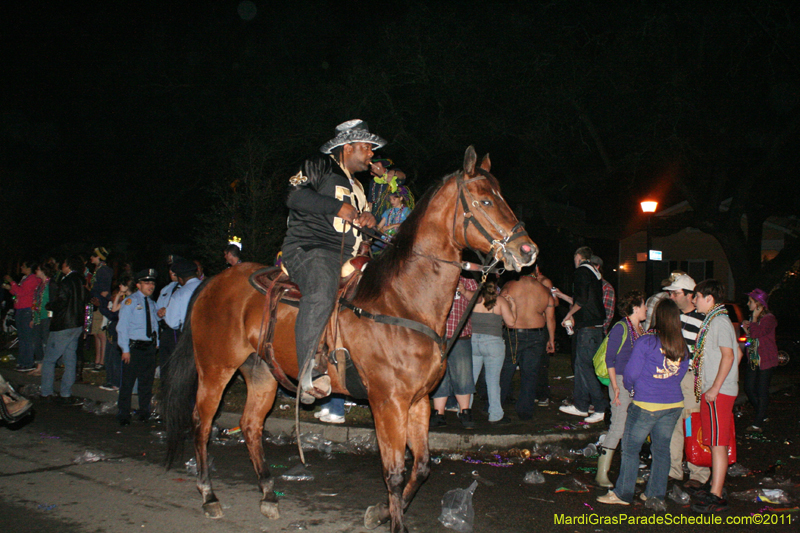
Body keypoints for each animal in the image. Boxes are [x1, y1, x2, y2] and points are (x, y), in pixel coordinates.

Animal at [162, 145, 536, 532]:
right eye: (485, 201)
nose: (527, 251)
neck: (402, 301)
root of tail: (214, 281)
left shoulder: (418, 401)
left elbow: (421, 467)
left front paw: (383, 511)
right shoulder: (388, 404)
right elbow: (394, 471)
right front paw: (394, 520)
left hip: (261, 372)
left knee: (250, 426)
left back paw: (267, 494)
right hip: (215, 369)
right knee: (201, 423)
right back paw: (209, 494)